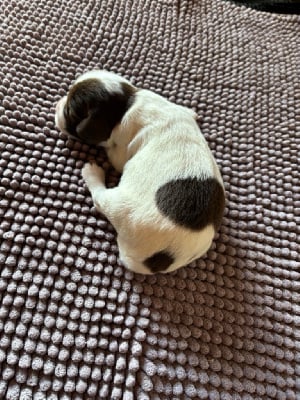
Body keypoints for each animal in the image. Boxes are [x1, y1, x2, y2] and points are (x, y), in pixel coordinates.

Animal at [55, 70, 225, 274]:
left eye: (69, 111)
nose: (57, 104)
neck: (127, 103)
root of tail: (163, 258)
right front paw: (191, 112)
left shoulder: (120, 151)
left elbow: (115, 156)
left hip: (120, 205)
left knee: (100, 198)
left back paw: (92, 173)